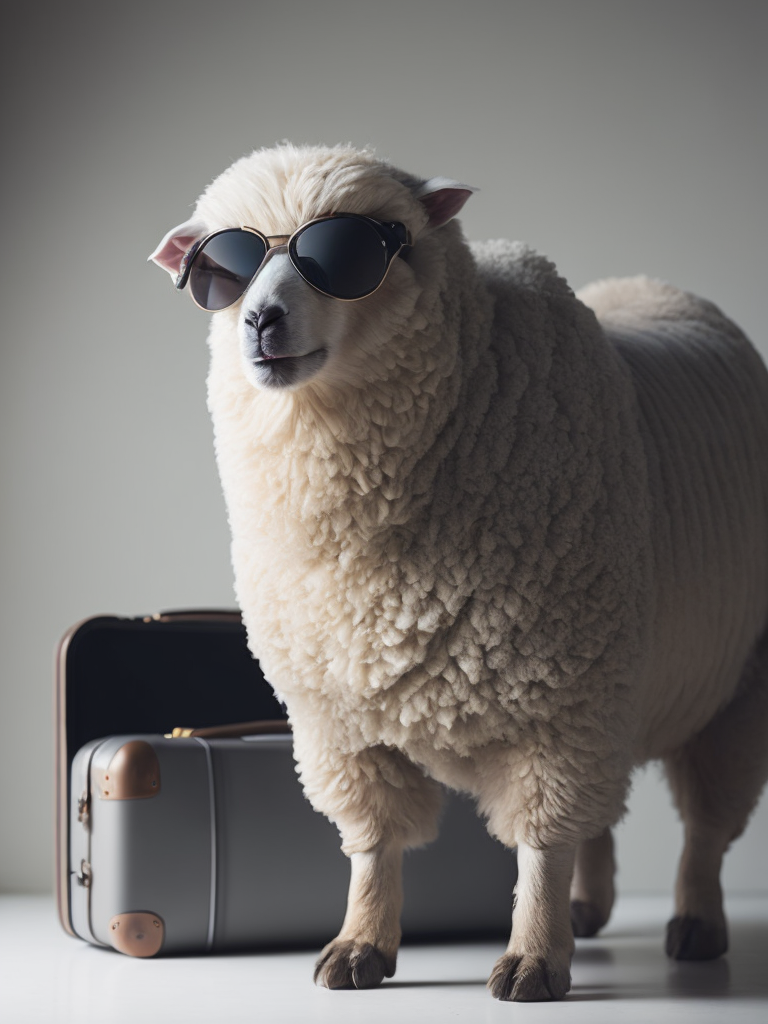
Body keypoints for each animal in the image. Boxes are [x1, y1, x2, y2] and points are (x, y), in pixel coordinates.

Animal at [151, 143, 768, 1001]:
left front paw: (534, 959)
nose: (260, 319)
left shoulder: (562, 702)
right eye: (220, 268)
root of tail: (655, 286)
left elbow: (541, 841)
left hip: (730, 685)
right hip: (626, 688)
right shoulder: (342, 722)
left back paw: (696, 925)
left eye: (354, 251)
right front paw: (360, 946)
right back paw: (589, 911)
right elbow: (375, 843)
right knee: (604, 818)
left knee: (705, 823)